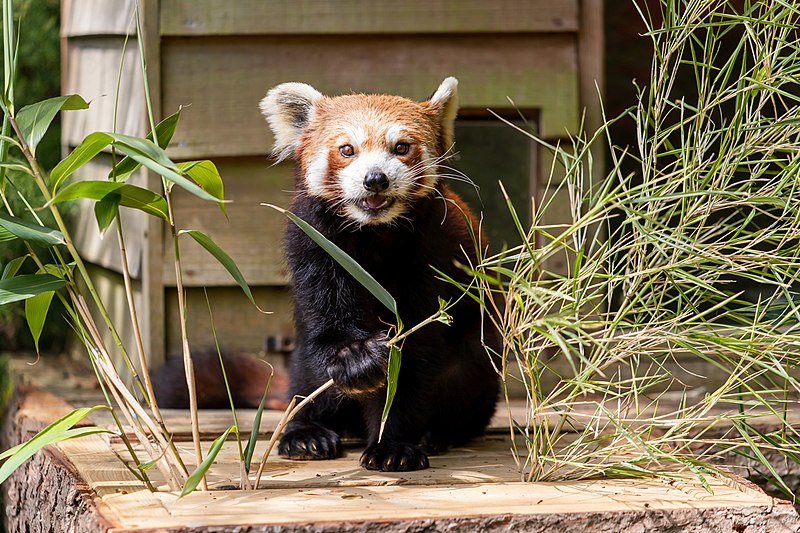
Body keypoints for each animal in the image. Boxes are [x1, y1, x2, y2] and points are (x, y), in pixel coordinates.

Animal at [260, 78, 500, 470]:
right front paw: (356, 359)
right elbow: (329, 319)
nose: (375, 179)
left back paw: (440, 434)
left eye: (401, 147)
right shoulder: (314, 241)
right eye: (347, 150)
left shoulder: (431, 253)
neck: (372, 232)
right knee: (308, 373)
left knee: (465, 375)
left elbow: (413, 350)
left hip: (476, 357)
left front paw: (392, 444)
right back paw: (306, 431)